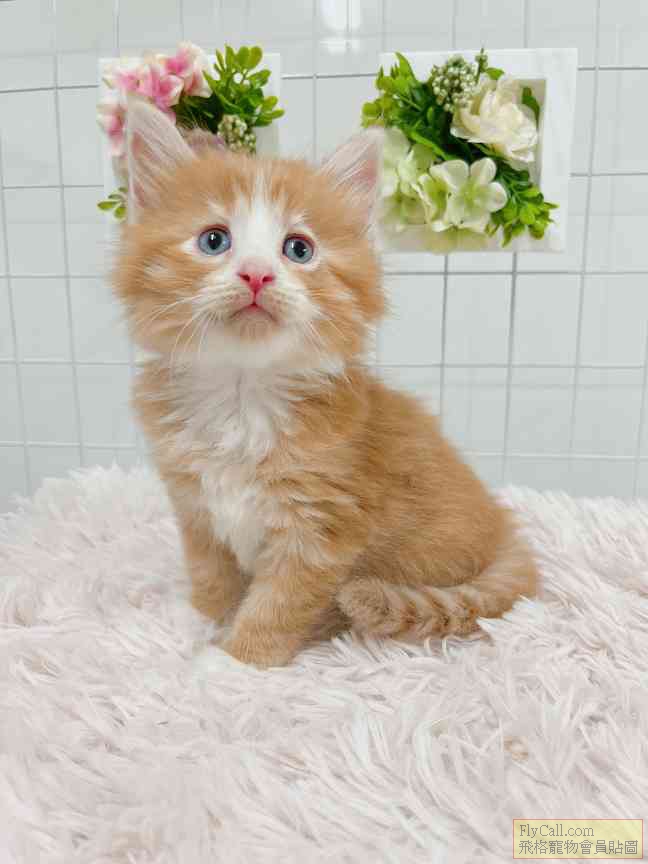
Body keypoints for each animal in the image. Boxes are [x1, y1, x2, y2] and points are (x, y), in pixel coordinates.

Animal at [112, 100, 537, 668]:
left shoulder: (322, 527)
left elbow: (278, 602)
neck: (242, 396)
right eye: (214, 240)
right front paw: (195, 621)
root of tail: (503, 531)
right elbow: (211, 575)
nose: (256, 274)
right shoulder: (195, 507)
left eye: (298, 249)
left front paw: (232, 664)